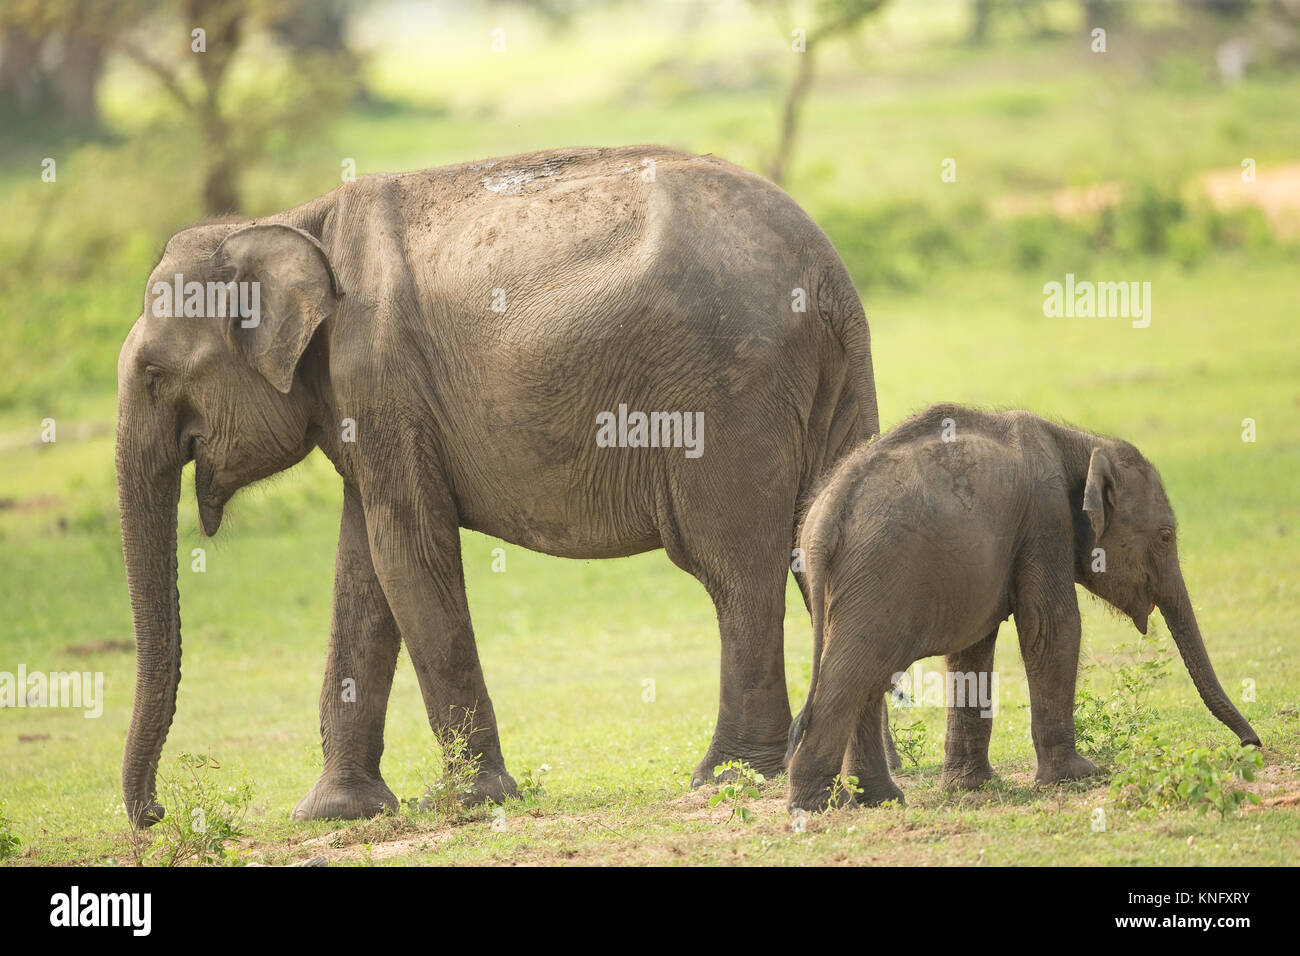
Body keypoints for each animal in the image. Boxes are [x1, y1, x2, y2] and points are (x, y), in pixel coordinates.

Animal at [116, 145, 878, 827]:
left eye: (153, 374)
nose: (154, 813)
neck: (292, 222)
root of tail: (829, 272)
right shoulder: (366, 405)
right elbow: (363, 569)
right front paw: (333, 813)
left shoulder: (380, 379)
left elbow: (406, 555)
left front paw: (465, 803)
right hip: (832, 382)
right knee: (824, 546)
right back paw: (854, 776)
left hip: (725, 390)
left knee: (734, 568)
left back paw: (730, 777)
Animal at [780, 403, 1258, 816]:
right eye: (1165, 536)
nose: (1251, 745)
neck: (1080, 443)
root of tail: (822, 523)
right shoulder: (1046, 520)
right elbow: (1052, 626)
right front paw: (1079, 776)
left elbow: (973, 649)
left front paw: (970, 787)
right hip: (879, 573)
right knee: (855, 671)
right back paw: (817, 807)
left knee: (869, 675)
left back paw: (880, 801)